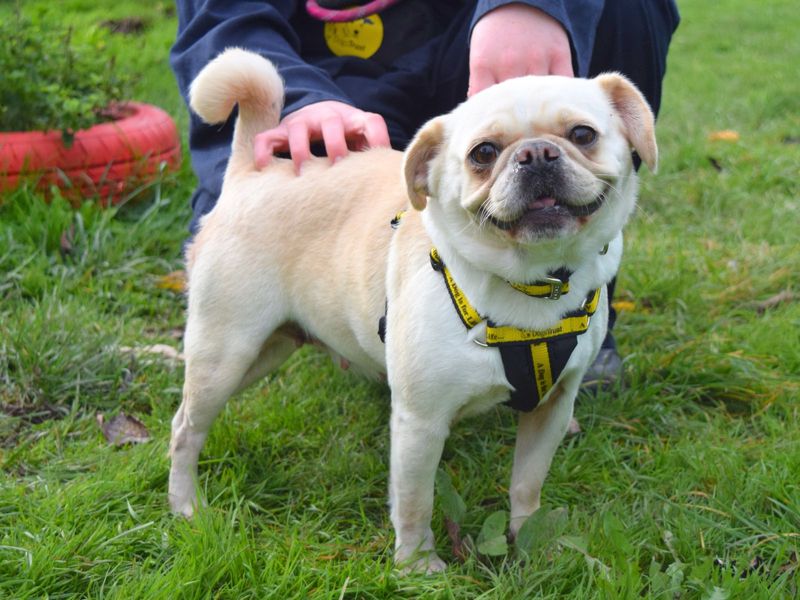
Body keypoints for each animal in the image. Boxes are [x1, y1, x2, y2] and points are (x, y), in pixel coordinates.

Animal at [169, 47, 656, 572]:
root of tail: (252, 170)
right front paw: (417, 566)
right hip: (225, 356)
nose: (536, 154)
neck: (532, 285)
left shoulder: (551, 408)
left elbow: (527, 484)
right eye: (483, 154)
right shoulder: (420, 424)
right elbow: (415, 500)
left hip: (266, 352)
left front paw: (530, 541)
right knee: (185, 429)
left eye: (583, 135)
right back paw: (186, 505)